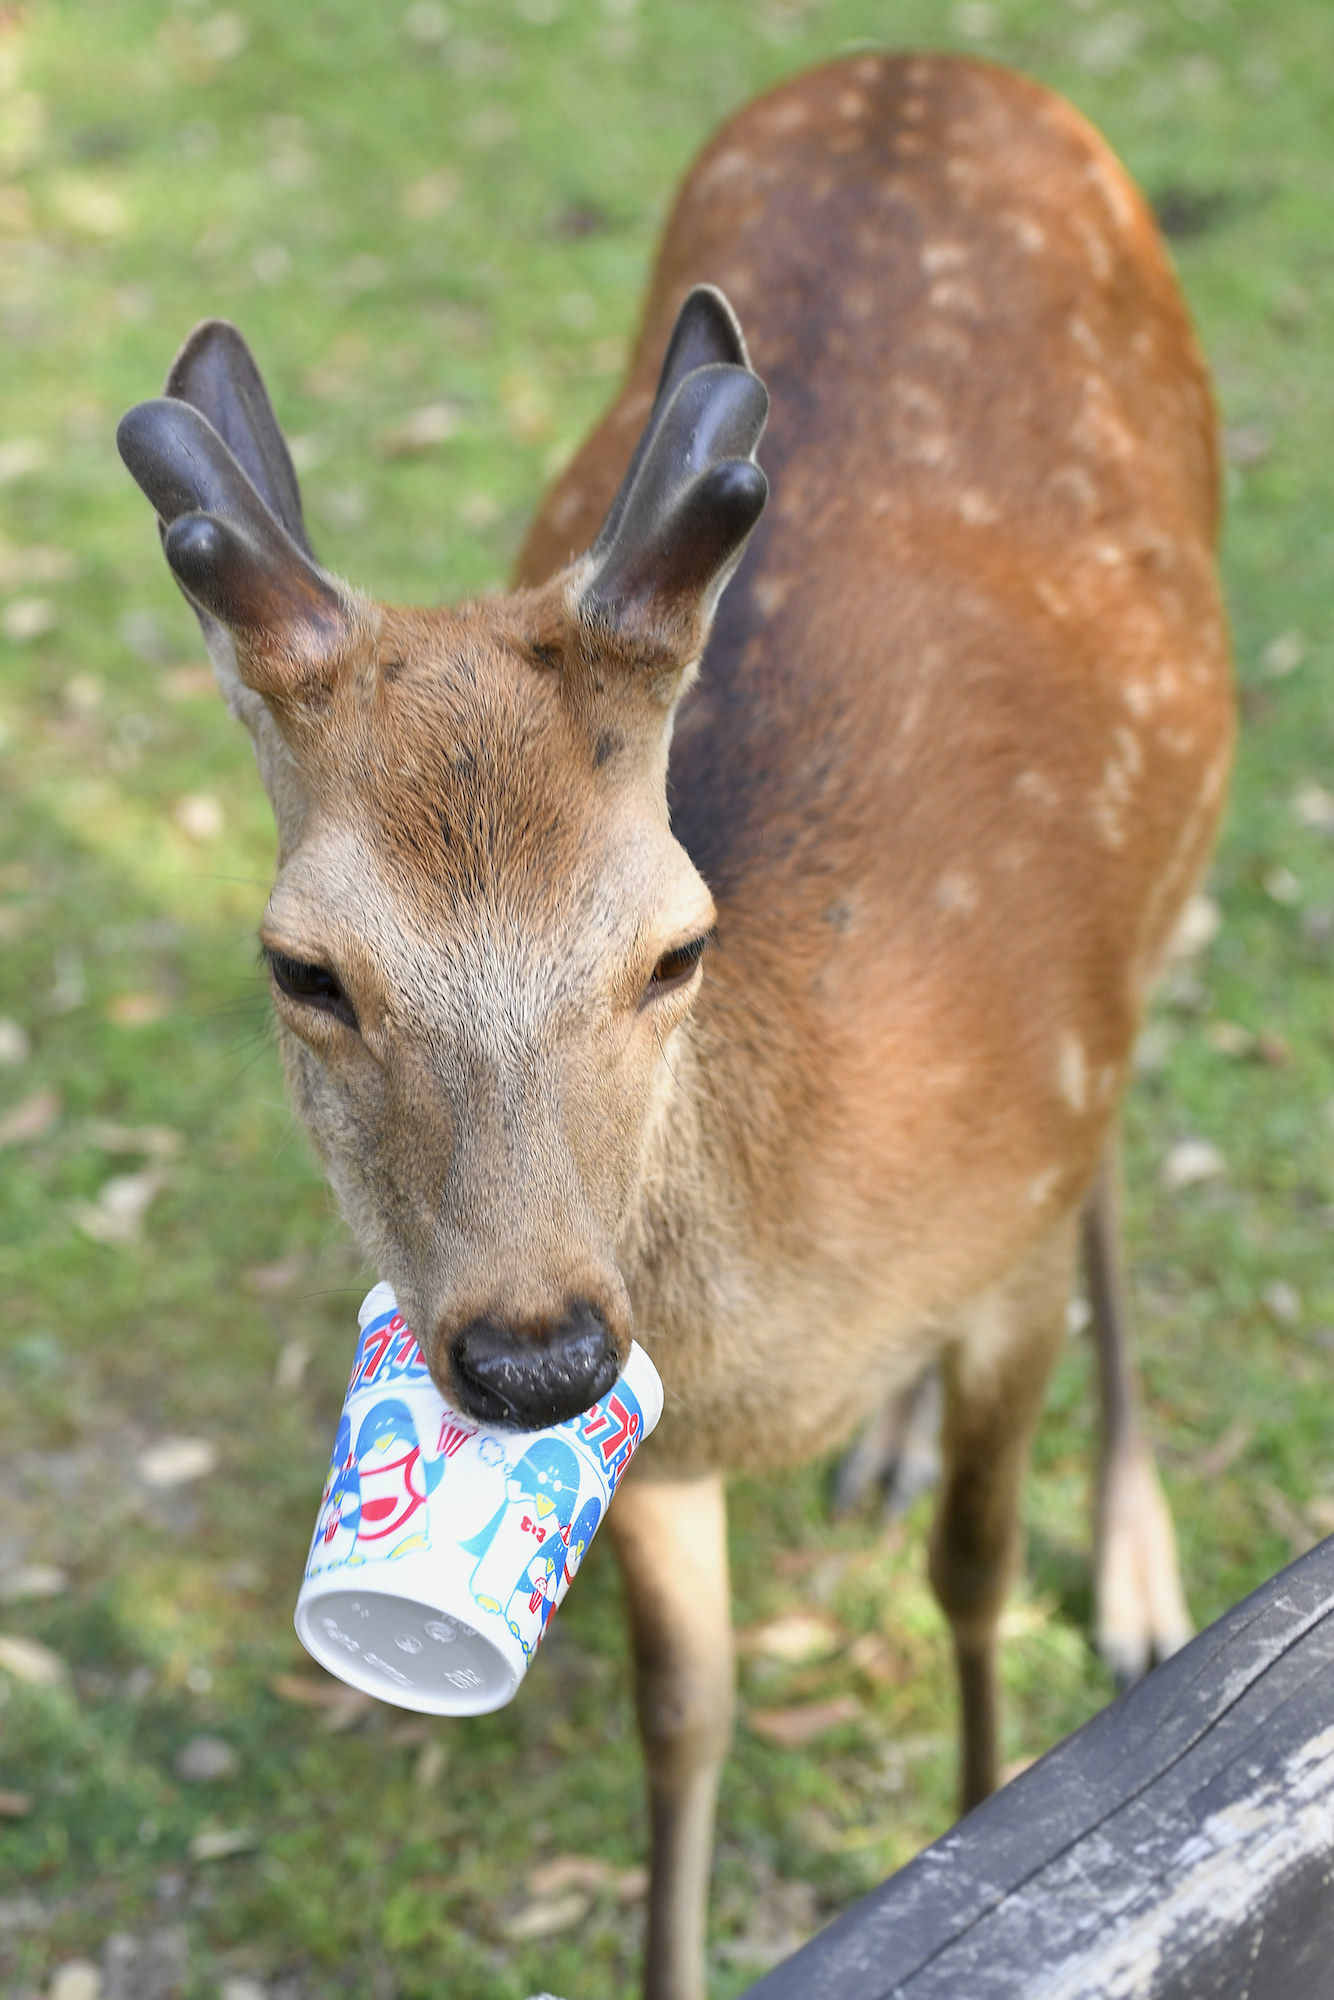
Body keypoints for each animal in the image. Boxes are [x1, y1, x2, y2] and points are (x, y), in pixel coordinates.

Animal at [120, 50, 1240, 2000]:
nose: (532, 1356)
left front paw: (974, 1800)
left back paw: (1130, 1576)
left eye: (672, 946)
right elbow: (682, 1710)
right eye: (303, 968)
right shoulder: (648, 1439)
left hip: (1156, 912)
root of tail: (925, 61)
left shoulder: (1013, 1233)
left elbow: (967, 1578)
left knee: (1112, 1168)